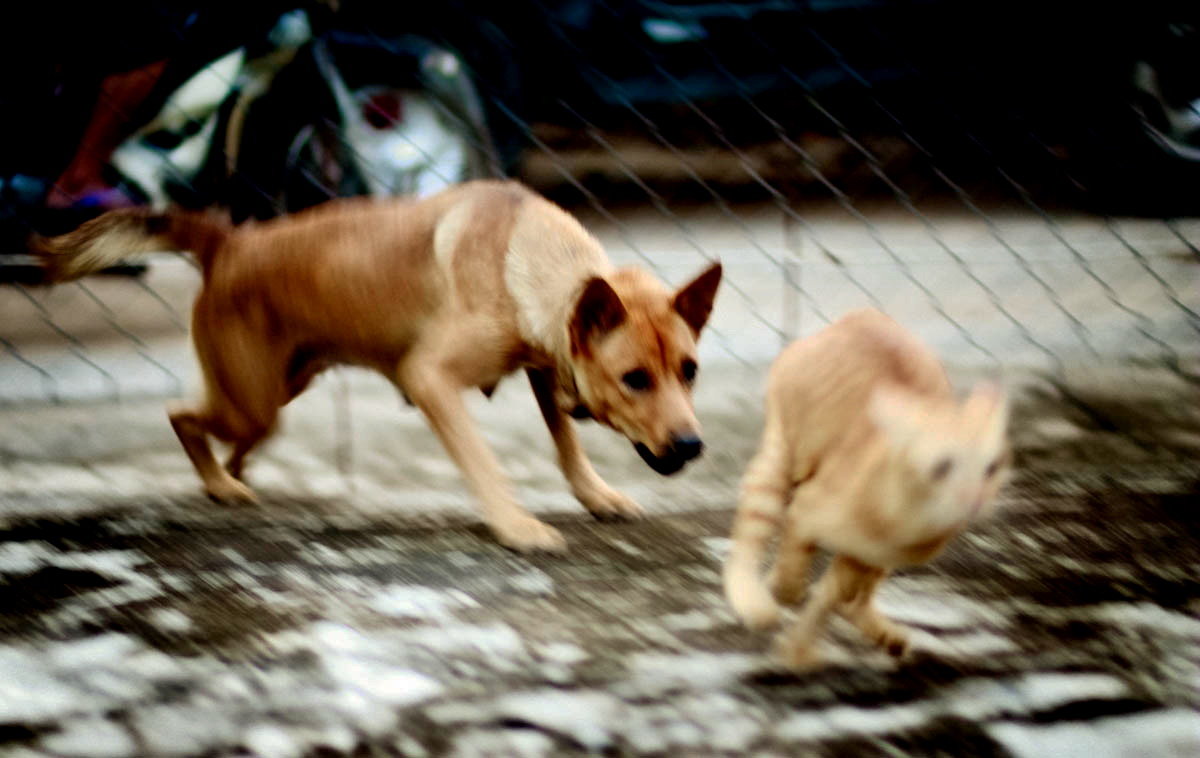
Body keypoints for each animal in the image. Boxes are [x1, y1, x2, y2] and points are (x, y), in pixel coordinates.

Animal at [35, 181, 720, 554]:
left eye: (690, 370)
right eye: (635, 379)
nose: (692, 447)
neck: (525, 254)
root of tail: (229, 241)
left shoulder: (542, 365)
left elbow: (566, 444)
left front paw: (595, 495)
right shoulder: (431, 378)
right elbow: (485, 462)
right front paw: (514, 524)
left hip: (281, 389)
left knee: (225, 432)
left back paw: (231, 477)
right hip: (252, 400)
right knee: (181, 415)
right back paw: (219, 484)